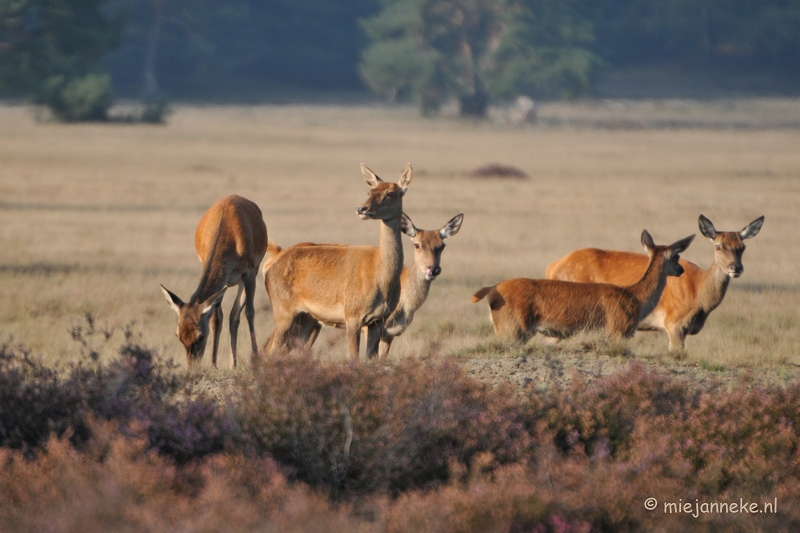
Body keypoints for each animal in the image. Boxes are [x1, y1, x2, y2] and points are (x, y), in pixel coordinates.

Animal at [161, 194, 268, 366]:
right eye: (178, 335)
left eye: (201, 335)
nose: (192, 366)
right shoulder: (218, 276)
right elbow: (216, 319)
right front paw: (213, 363)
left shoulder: (250, 271)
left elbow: (250, 312)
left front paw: (255, 358)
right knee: (232, 315)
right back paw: (232, 364)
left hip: (247, 274)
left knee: (236, 314)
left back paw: (235, 363)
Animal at [264, 163, 412, 358]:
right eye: (370, 191)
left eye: (391, 193)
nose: (362, 209)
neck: (381, 277)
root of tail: (269, 268)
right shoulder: (352, 316)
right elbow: (354, 357)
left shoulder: (378, 321)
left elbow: (370, 358)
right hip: (283, 312)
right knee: (270, 350)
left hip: (306, 318)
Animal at [468, 231, 692, 342]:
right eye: (676, 256)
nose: (681, 270)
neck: (635, 297)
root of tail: (491, 289)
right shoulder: (617, 330)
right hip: (512, 330)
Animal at [548, 214, 764, 352]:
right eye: (718, 246)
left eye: (742, 246)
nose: (735, 267)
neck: (699, 297)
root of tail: (552, 266)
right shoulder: (674, 324)